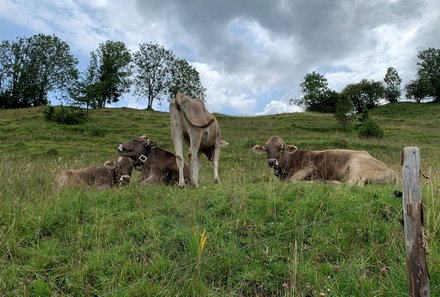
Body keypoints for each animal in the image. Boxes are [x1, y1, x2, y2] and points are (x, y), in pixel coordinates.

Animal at [251, 135, 398, 184]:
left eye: (281, 148)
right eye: (266, 149)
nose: (271, 162)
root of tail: (393, 172)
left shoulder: (308, 167)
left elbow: (292, 181)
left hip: (356, 166)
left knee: (349, 185)